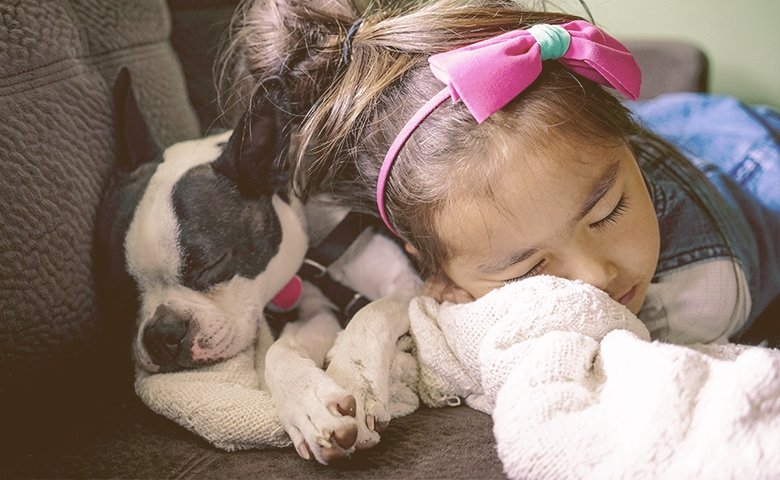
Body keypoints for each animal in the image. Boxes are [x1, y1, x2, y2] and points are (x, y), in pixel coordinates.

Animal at [96, 71, 420, 464]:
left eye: (212, 263)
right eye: (119, 293)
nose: (162, 334)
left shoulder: (408, 283)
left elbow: (372, 313)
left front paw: (356, 380)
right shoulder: (314, 308)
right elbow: (280, 351)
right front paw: (309, 406)